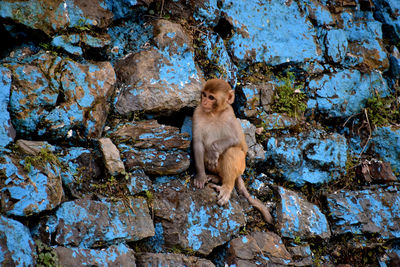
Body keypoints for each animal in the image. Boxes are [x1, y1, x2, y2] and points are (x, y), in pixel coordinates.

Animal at [192, 78, 274, 225]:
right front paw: (200, 176)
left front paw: (213, 149)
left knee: (232, 151)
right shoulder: (197, 112)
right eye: (204, 95)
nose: (204, 102)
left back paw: (226, 187)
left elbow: (238, 141)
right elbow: (197, 144)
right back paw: (215, 177)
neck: (214, 113)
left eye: (211, 97)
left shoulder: (229, 116)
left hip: (241, 166)